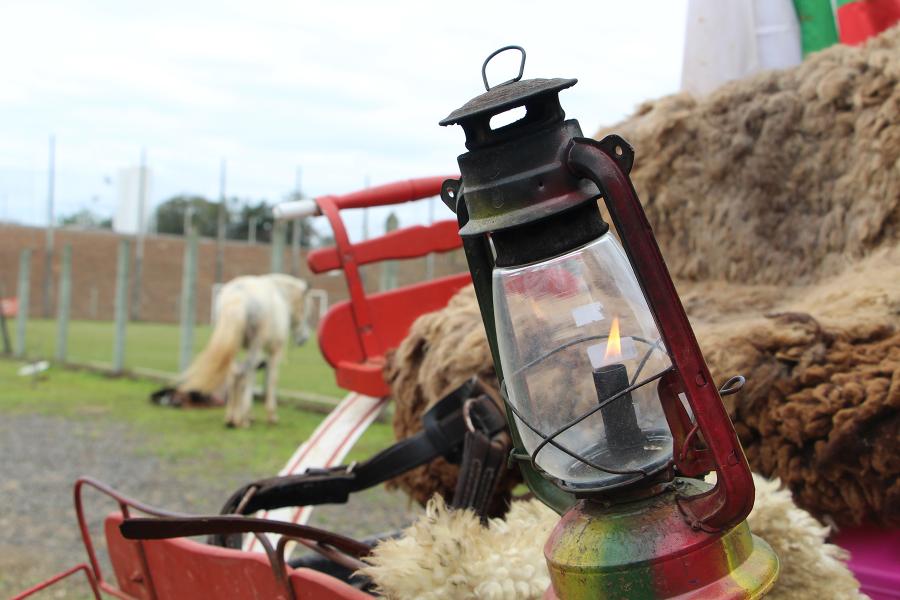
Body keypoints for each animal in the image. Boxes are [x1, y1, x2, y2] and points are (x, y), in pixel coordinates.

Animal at [178, 272, 312, 426]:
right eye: (306, 309)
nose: (304, 339)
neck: (281, 294)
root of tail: (238, 296)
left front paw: (248, 414)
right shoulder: (273, 350)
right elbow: (271, 379)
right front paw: (270, 415)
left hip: (234, 346)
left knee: (234, 373)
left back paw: (231, 418)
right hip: (255, 345)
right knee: (244, 373)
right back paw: (241, 419)